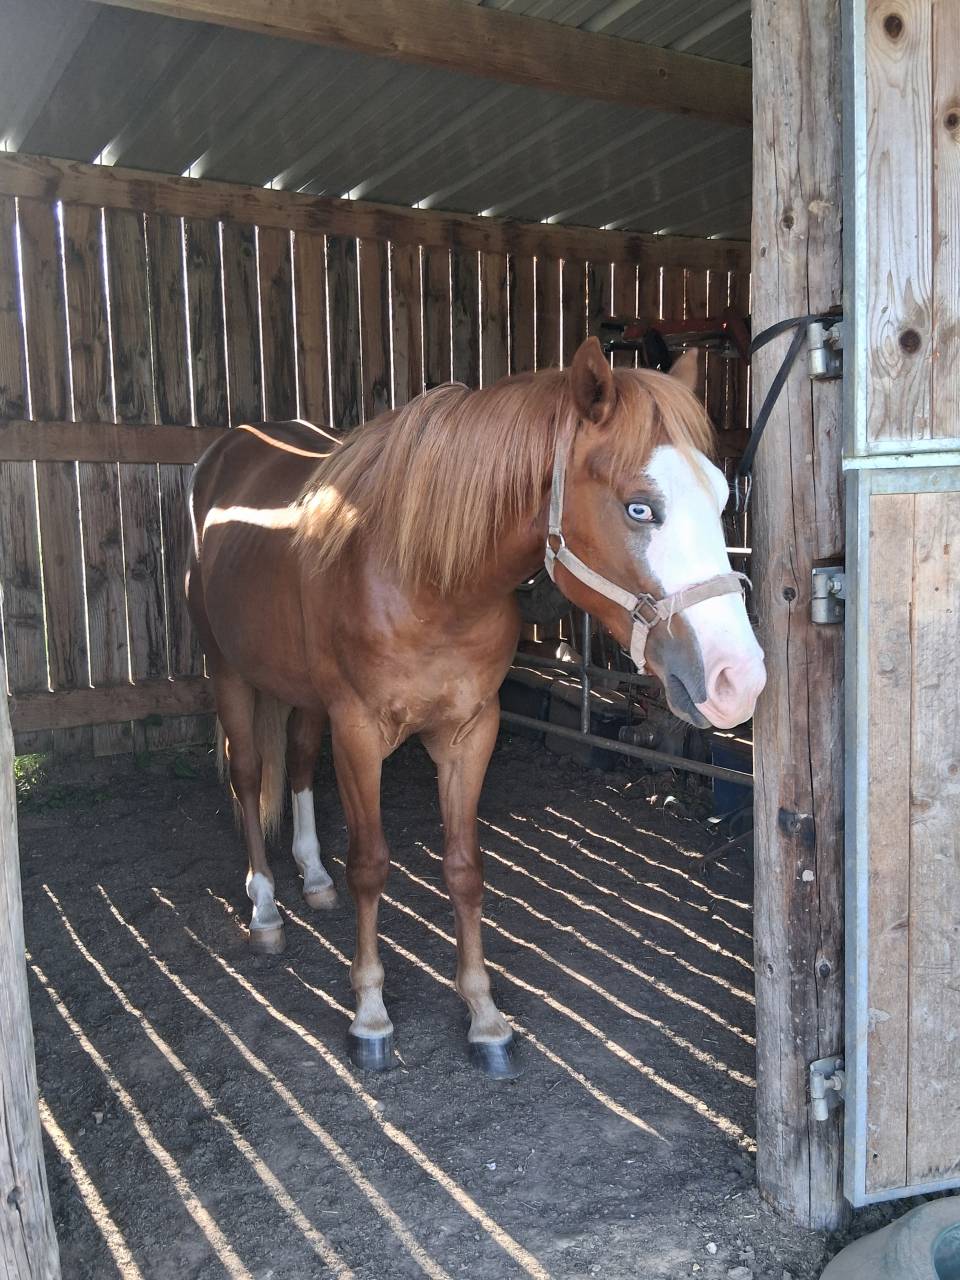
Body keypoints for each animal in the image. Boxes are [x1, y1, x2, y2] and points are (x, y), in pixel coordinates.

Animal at [186, 337, 766, 1076]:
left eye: (721, 497)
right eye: (640, 508)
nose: (738, 679)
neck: (424, 577)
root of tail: (228, 449)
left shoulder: (471, 730)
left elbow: (465, 870)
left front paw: (484, 1017)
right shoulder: (359, 731)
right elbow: (370, 866)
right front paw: (370, 1014)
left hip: (303, 695)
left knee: (298, 764)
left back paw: (312, 879)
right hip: (228, 673)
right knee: (249, 776)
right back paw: (265, 911)